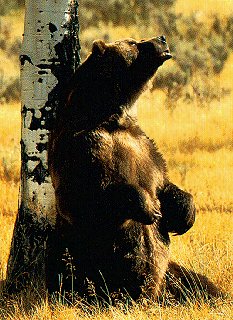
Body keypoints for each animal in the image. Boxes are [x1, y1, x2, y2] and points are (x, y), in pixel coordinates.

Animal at [47, 37, 218, 302]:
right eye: (133, 42)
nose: (161, 39)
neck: (111, 117)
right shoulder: (81, 147)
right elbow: (84, 195)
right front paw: (148, 207)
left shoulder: (145, 148)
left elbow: (163, 181)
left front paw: (185, 213)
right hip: (79, 257)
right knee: (70, 272)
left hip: (169, 276)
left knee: (198, 283)